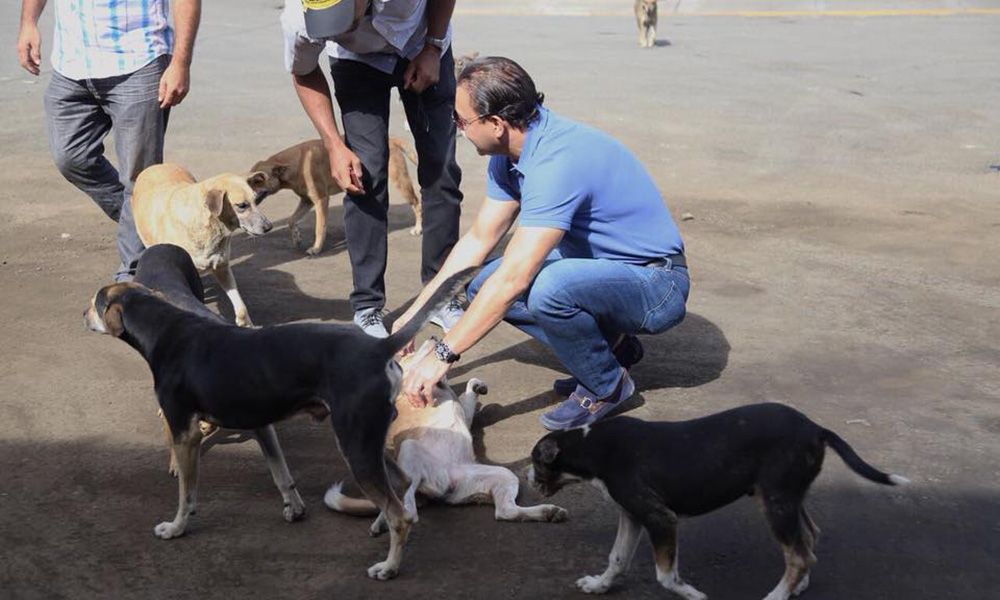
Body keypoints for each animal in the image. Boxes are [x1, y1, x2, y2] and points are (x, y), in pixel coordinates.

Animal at [86, 260, 476, 580]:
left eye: (94, 302)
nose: (81, 315)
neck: (166, 328)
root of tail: (377, 347)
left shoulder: (186, 433)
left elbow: (187, 492)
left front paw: (176, 527)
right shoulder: (260, 423)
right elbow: (280, 472)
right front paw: (293, 507)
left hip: (355, 445)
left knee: (401, 515)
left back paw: (388, 567)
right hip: (369, 441)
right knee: (400, 485)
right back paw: (379, 524)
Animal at [133, 163, 276, 328]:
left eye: (256, 200)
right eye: (242, 205)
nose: (269, 227)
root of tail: (157, 166)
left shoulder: (222, 268)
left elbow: (241, 307)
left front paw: (246, 324)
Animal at [250, 137, 422, 256]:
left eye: (258, 180)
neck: (297, 163)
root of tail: (392, 138)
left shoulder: (320, 200)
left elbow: (319, 227)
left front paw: (316, 248)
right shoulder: (306, 201)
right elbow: (291, 220)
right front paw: (297, 238)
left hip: (400, 181)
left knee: (417, 202)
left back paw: (418, 228)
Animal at [324, 344, 568, 532]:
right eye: (411, 353)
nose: (432, 337)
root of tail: (445, 481)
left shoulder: (463, 414)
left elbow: (467, 396)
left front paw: (475, 386)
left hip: (503, 476)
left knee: (504, 512)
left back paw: (548, 513)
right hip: (411, 449)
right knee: (407, 503)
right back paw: (385, 520)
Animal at [528, 404, 912, 600]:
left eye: (535, 462)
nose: (529, 478)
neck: (591, 445)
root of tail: (815, 428)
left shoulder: (660, 517)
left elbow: (665, 575)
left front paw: (692, 595)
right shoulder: (632, 515)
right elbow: (617, 558)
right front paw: (599, 585)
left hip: (775, 502)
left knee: (800, 554)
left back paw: (777, 596)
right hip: (787, 497)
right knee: (809, 539)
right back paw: (797, 587)